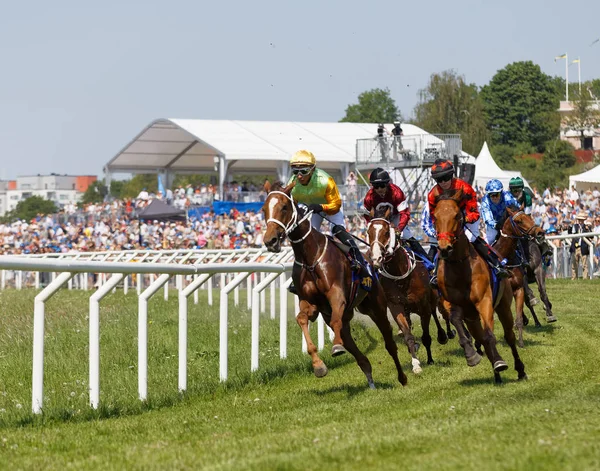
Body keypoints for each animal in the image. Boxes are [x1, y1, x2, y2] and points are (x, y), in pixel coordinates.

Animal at [262, 186, 408, 390]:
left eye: (284, 207)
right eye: (264, 209)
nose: (271, 240)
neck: (310, 256)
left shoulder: (337, 295)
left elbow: (336, 322)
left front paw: (336, 347)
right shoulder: (310, 303)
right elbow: (301, 319)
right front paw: (318, 365)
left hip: (376, 307)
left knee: (389, 342)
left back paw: (402, 377)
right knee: (359, 354)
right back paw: (370, 380)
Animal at [368, 205, 452, 374]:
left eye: (386, 232)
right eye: (369, 232)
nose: (376, 258)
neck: (401, 276)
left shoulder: (423, 305)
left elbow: (426, 336)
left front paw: (429, 359)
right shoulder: (396, 306)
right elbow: (408, 335)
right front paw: (416, 364)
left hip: (434, 298)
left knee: (442, 313)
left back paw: (446, 334)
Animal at [434, 190, 528, 386]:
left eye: (457, 215)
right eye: (435, 216)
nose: (444, 248)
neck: (460, 266)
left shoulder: (484, 300)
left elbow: (490, 335)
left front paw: (499, 362)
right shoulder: (453, 303)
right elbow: (457, 321)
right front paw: (471, 355)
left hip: (503, 306)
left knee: (508, 336)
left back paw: (519, 370)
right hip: (471, 317)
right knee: (480, 337)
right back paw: (495, 372)